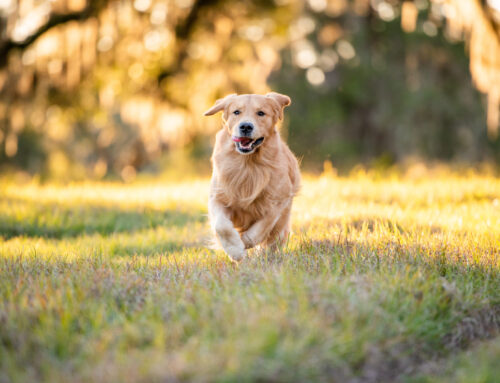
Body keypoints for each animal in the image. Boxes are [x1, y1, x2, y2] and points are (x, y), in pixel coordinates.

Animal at [204, 91, 300, 262]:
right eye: (236, 112)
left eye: (261, 113)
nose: (246, 126)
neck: (248, 165)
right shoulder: (217, 197)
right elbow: (222, 226)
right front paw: (235, 249)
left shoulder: (277, 201)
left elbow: (262, 227)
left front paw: (243, 243)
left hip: (282, 221)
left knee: (273, 240)